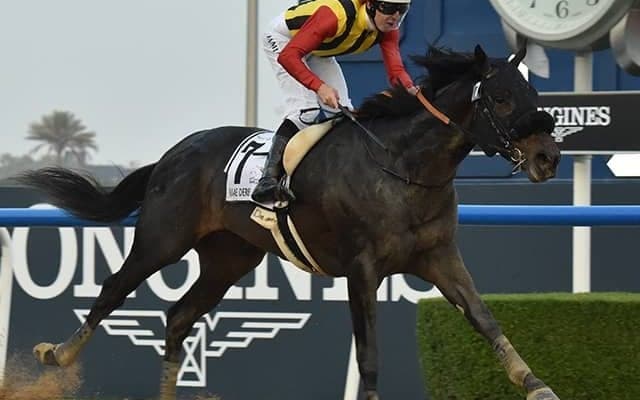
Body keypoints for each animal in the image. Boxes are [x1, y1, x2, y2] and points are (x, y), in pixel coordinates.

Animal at [18, 44, 561, 400]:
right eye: (501, 97)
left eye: (531, 91)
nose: (548, 157)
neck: (403, 166)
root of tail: (174, 153)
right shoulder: (362, 269)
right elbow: (368, 354)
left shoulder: (438, 256)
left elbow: (484, 318)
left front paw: (535, 384)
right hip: (162, 239)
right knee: (114, 288)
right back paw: (57, 355)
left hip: (229, 258)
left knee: (179, 316)